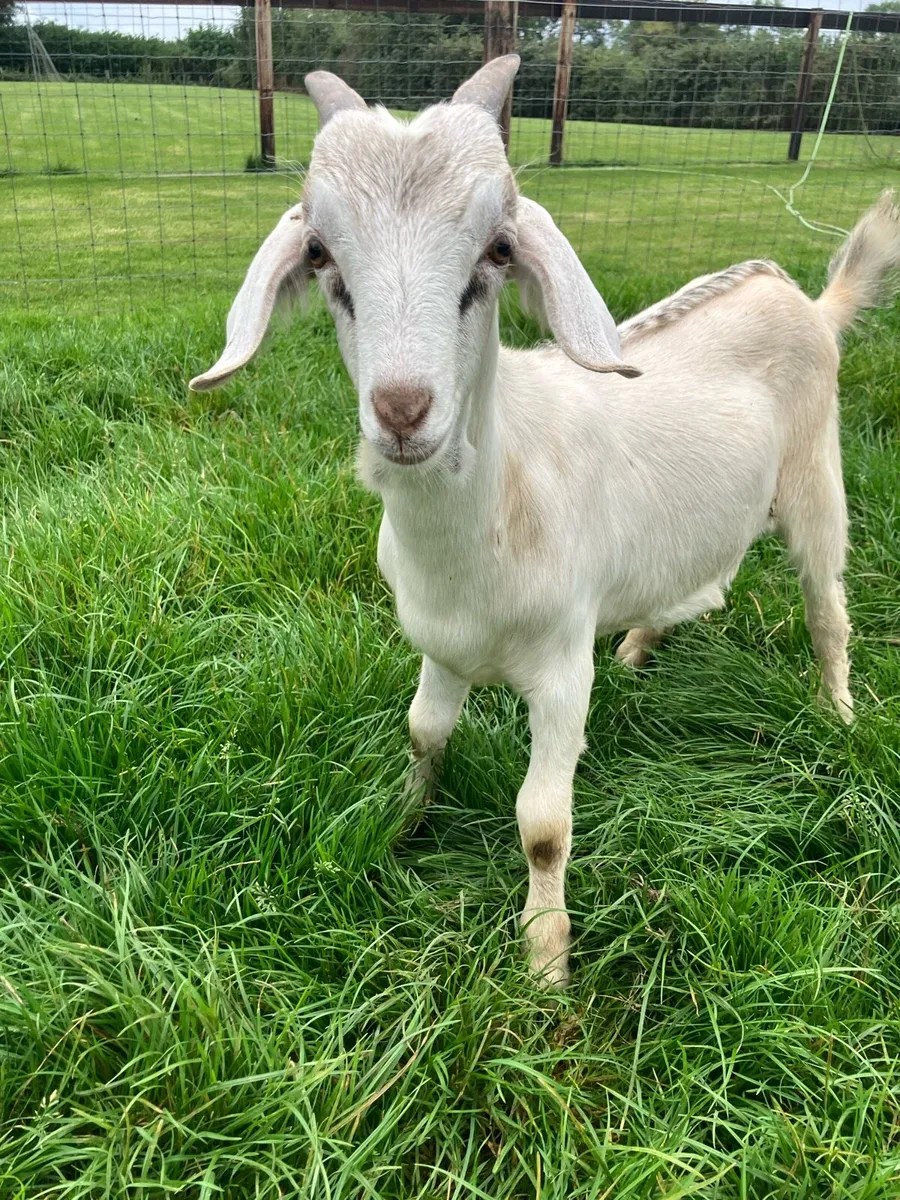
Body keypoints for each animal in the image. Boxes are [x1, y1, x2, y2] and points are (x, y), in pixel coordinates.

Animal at [191, 56, 900, 987]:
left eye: (497, 250)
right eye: (319, 253)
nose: (403, 411)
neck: (487, 520)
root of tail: (813, 306)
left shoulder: (563, 669)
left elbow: (542, 824)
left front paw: (545, 961)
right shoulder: (439, 647)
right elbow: (422, 735)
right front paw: (404, 824)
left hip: (817, 482)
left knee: (827, 611)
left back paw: (839, 715)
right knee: (702, 585)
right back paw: (640, 648)